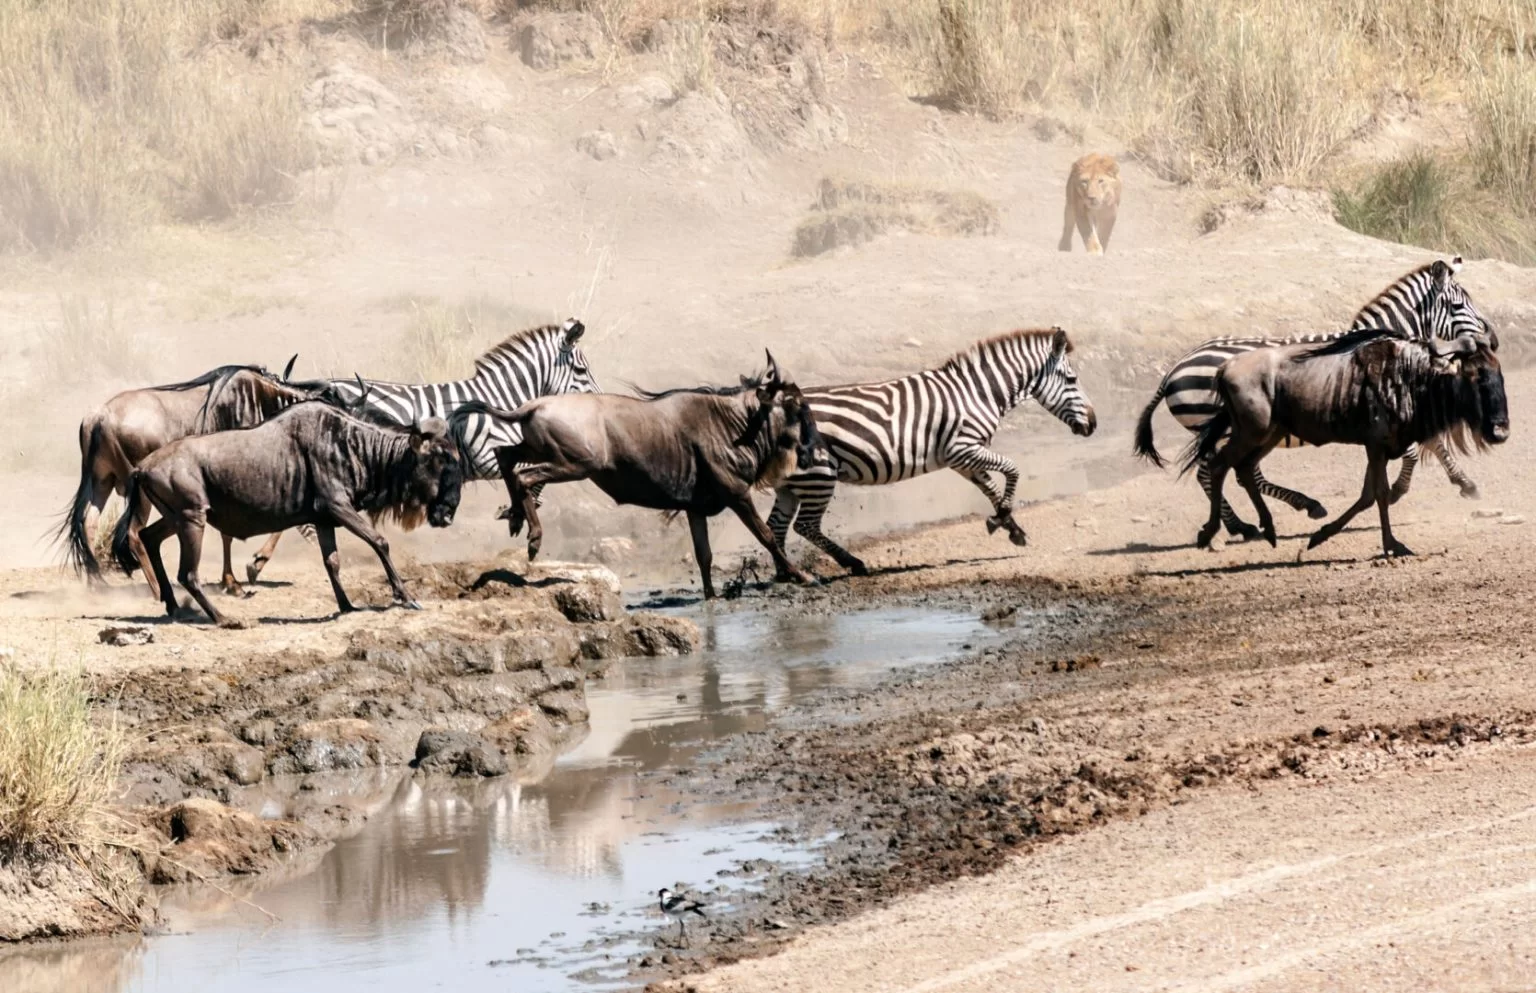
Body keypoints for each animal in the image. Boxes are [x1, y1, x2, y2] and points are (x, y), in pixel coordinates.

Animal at [242, 319, 595, 584]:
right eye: (581, 370)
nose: (595, 400)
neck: (496, 399)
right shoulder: (485, 454)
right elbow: (528, 479)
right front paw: (518, 517)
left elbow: (529, 480)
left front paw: (516, 514)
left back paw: (259, 562)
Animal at [764, 328, 1093, 574]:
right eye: (1072, 379)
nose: (1094, 424)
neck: (979, 393)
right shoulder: (963, 448)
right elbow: (1012, 469)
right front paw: (1003, 518)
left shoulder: (962, 458)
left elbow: (990, 487)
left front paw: (1007, 525)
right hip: (818, 475)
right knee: (805, 526)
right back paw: (851, 564)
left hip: (791, 483)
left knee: (775, 527)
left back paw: (787, 574)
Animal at [1136, 255, 1492, 538]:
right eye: (1458, 306)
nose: (1493, 340)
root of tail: (1174, 368)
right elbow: (1420, 449)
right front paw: (1403, 491)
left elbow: (1431, 443)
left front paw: (1462, 483)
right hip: (1226, 427)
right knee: (1219, 471)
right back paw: (1250, 524)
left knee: (1226, 471)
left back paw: (1267, 516)